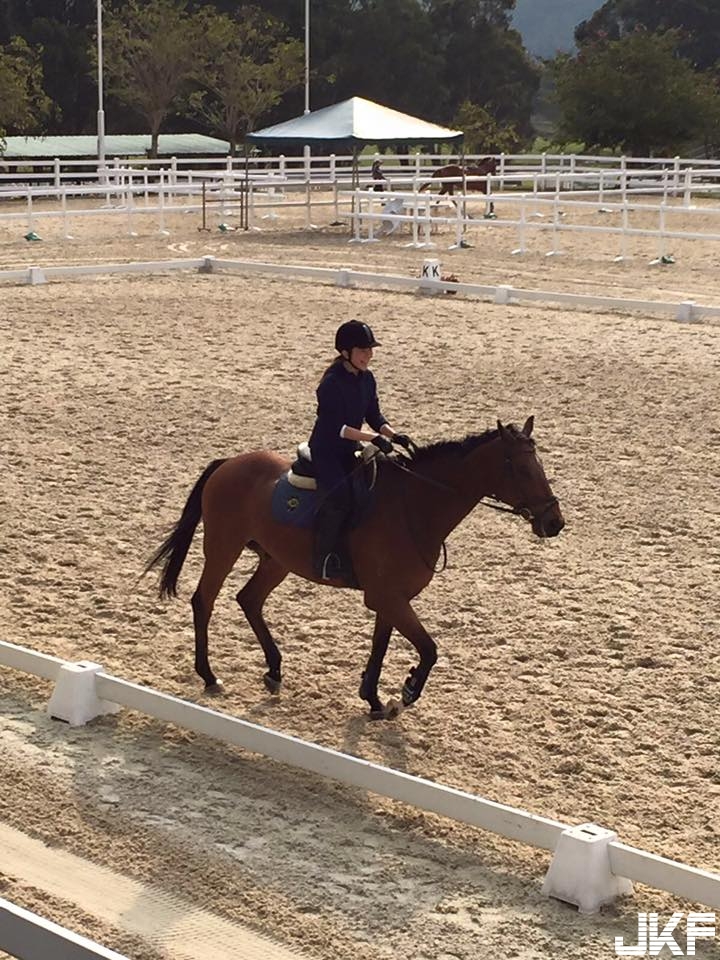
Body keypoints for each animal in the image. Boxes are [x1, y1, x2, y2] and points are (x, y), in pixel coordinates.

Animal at [146, 416, 564, 716]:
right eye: (521, 469)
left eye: (540, 465)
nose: (554, 522)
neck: (415, 505)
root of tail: (228, 463)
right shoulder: (388, 598)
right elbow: (429, 649)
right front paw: (406, 692)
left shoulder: (391, 598)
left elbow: (381, 646)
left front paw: (374, 698)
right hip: (223, 547)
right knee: (204, 601)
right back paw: (209, 675)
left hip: (276, 560)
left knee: (249, 600)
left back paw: (274, 670)